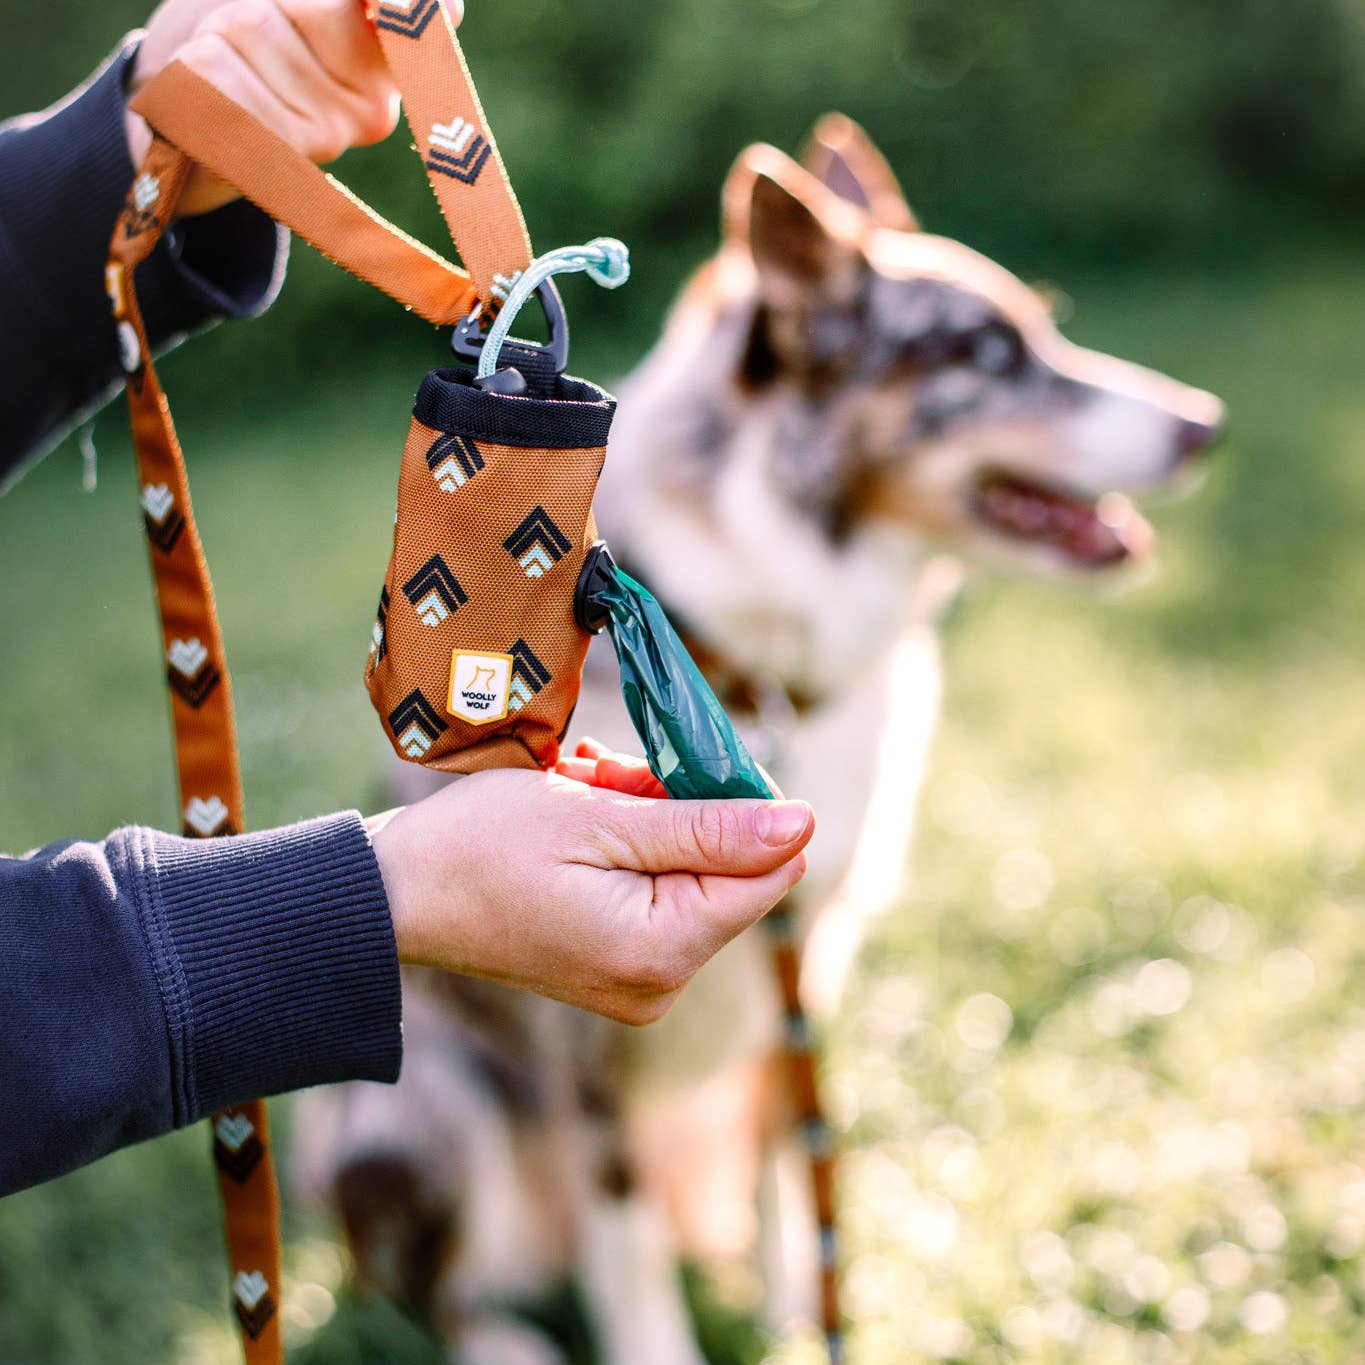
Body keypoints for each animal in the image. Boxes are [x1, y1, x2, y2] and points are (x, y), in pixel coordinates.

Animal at [293, 115, 1224, 1364]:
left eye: (1039, 334)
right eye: (985, 356)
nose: (1204, 426)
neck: (761, 658)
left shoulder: (808, 963)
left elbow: (798, 1158)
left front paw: (801, 1314)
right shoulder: (581, 1039)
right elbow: (625, 1237)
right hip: (417, 1113)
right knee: (436, 1288)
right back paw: (506, 1341)